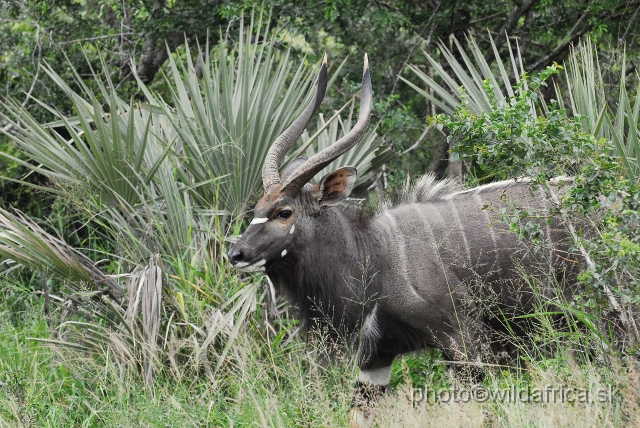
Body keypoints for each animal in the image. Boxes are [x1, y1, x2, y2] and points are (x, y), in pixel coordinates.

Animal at [229, 55, 576, 426]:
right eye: (257, 208)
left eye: (284, 212)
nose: (236, 254)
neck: (375, 257)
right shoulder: (377, 357)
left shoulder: (465, 339)